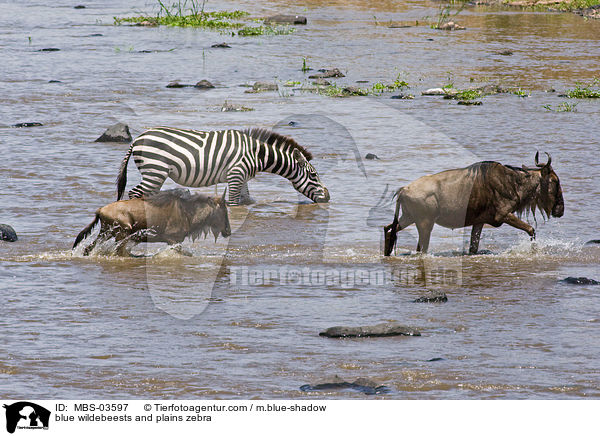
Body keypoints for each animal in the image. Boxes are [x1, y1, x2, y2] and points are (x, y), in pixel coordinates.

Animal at [115, 127, 330, 205]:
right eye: (313, 175)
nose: (328, 197)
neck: (256, 155)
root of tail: (138, 138)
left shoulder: (242, 178)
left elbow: (247, 200)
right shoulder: (236, 175)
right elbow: (234, 203)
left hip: (155, 174)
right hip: (155, 171)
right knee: (134, 193)